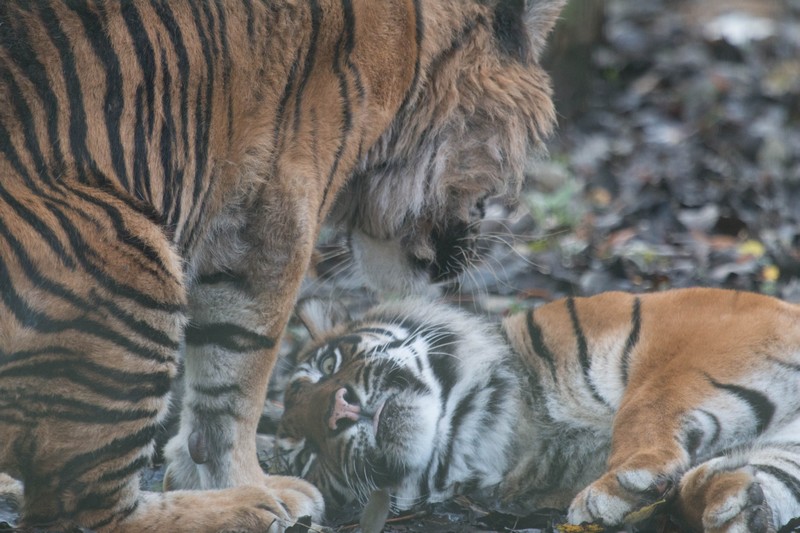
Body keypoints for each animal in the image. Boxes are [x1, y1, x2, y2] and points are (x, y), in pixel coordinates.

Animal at [0, 1, 564, 532]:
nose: (474, 254)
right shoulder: (275, 217)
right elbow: (236, 380)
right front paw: (246, 481)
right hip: (130, 258)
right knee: (83, 512)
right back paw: (246, 508)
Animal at [278, 288, 800, 532]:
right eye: (307, 454)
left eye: (328, 365)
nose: (338, 412)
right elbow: (774, 476)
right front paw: (734, 503)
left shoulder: (717, 323)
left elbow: (650, 396)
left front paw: (620, 481)